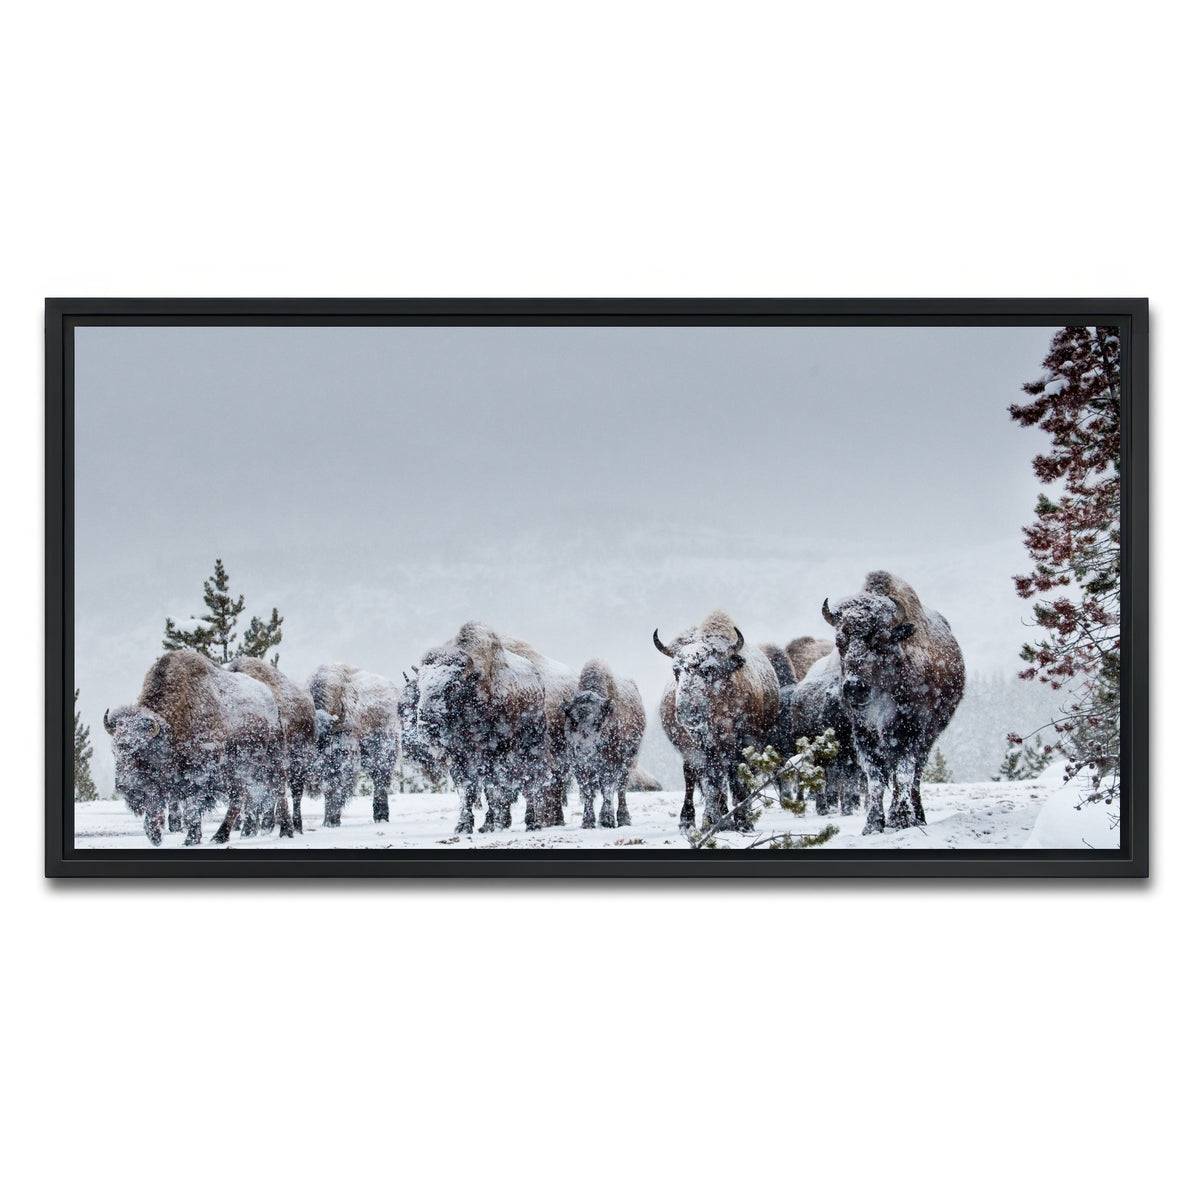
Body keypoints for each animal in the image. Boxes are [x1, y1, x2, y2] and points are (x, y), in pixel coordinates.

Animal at [104, 649, 289, 845]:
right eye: (114, 751)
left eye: (141, 751)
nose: (123, 786)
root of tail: (271, 699)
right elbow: (157, 805)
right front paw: (155, 836)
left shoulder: (198, 773)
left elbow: (192, 807)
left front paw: (190, 839)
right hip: (236, 770)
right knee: (239, 797)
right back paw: (220, 836)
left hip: (271, 759)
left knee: (278, 789)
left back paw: (286, 831)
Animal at [561, 659, 646, 829]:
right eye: (573, 721)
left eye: (598, 722)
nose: (585, 750)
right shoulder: (579, 766)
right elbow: (587, 791)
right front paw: (587, 822)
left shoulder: (611, 764)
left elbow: (607, 789)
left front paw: (606, 819)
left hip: (629, 762)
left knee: (621, 789)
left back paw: (623, 818)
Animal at [654, 610, 780, 832]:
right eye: (676, 670)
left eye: (708, 669)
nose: (687, 713)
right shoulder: (701, 750)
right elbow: (711, 783)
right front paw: (711, 820)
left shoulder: (744, 745)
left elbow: (737, 780)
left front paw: (743, 821)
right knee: (693, 778)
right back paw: (690, 820)